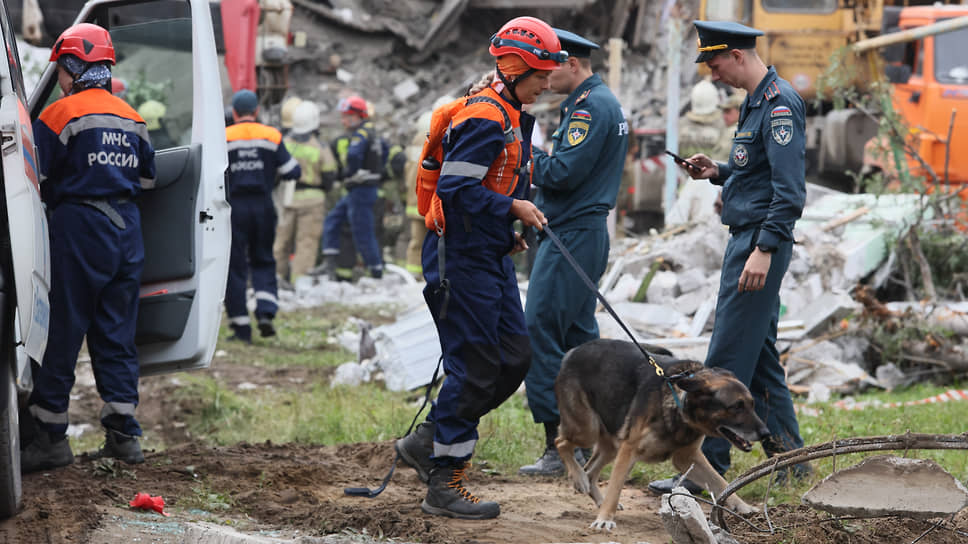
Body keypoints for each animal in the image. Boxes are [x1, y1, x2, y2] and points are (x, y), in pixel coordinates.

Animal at [556, 338, 768, 528]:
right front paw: (605, 518)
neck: (679, 401)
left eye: (752, 405)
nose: (765, 433)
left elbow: (721, 482)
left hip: (611, 444)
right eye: (736, 407)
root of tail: (573, 351)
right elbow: (615, 488)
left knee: (590, 471)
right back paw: (579, 478)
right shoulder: (629, 451)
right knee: (561, 442)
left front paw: (744, 507)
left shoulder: (687, 458)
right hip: (587, 430)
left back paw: (591, 491)